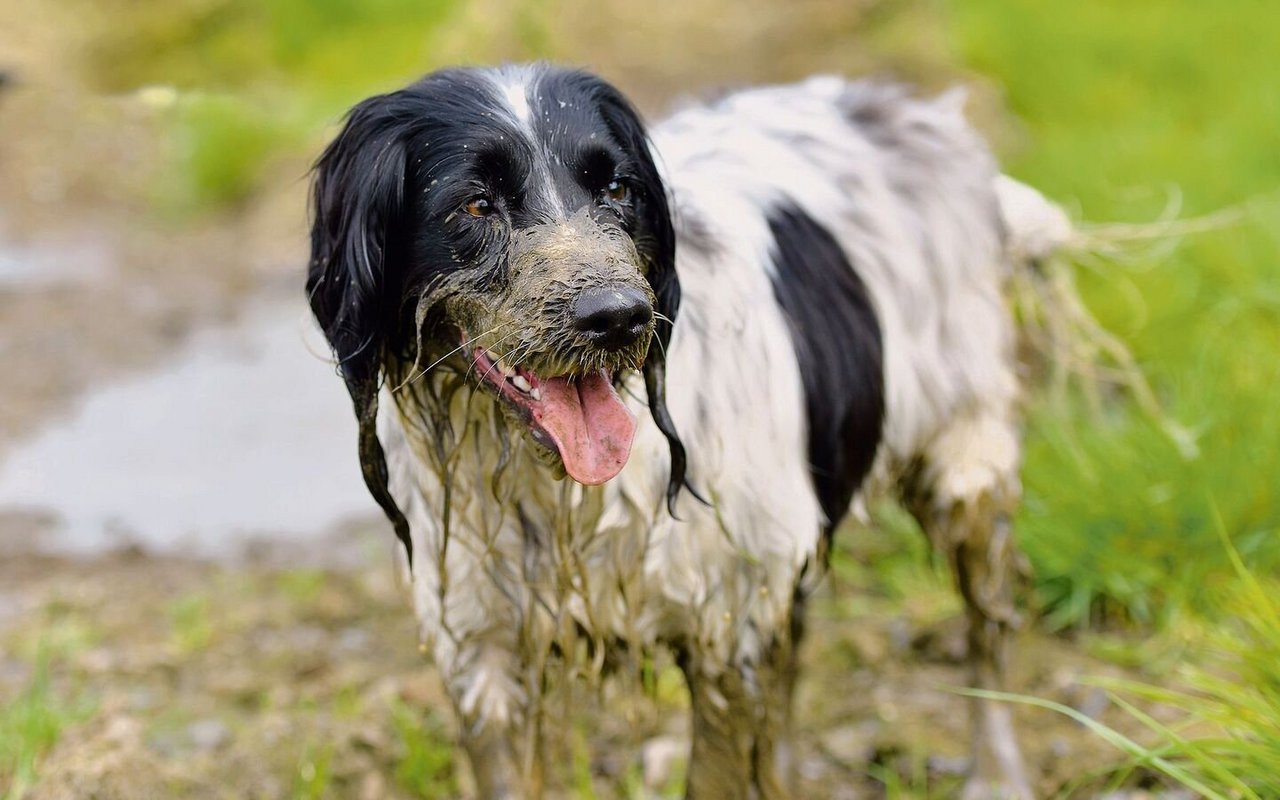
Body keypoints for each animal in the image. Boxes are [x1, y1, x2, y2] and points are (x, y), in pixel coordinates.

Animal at [307, 64, 1070, 798]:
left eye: (617, 188)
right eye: (474, 204)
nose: (619, 317)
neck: (561, 496)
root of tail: (922, 111)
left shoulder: (725, 624)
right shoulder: (482, 646)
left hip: (962, 468)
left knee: (987, 629)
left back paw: (996, 776)